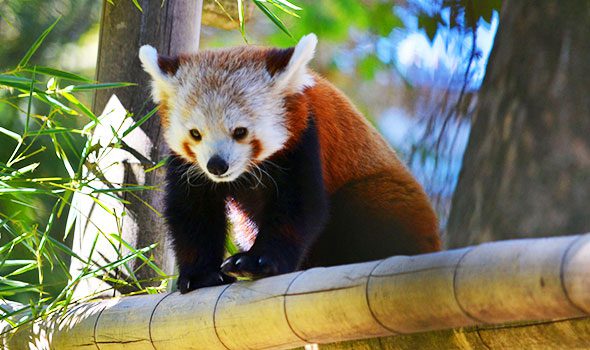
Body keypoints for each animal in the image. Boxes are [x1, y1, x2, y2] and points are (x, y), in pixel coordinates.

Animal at [141, 34, 442, 292]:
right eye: (195, 134)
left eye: (240, 132)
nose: (217, 165)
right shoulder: (188, 166)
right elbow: (191, 211)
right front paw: (201, 275)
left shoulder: (304, 136)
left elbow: (300, 206)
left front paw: (256, 262)